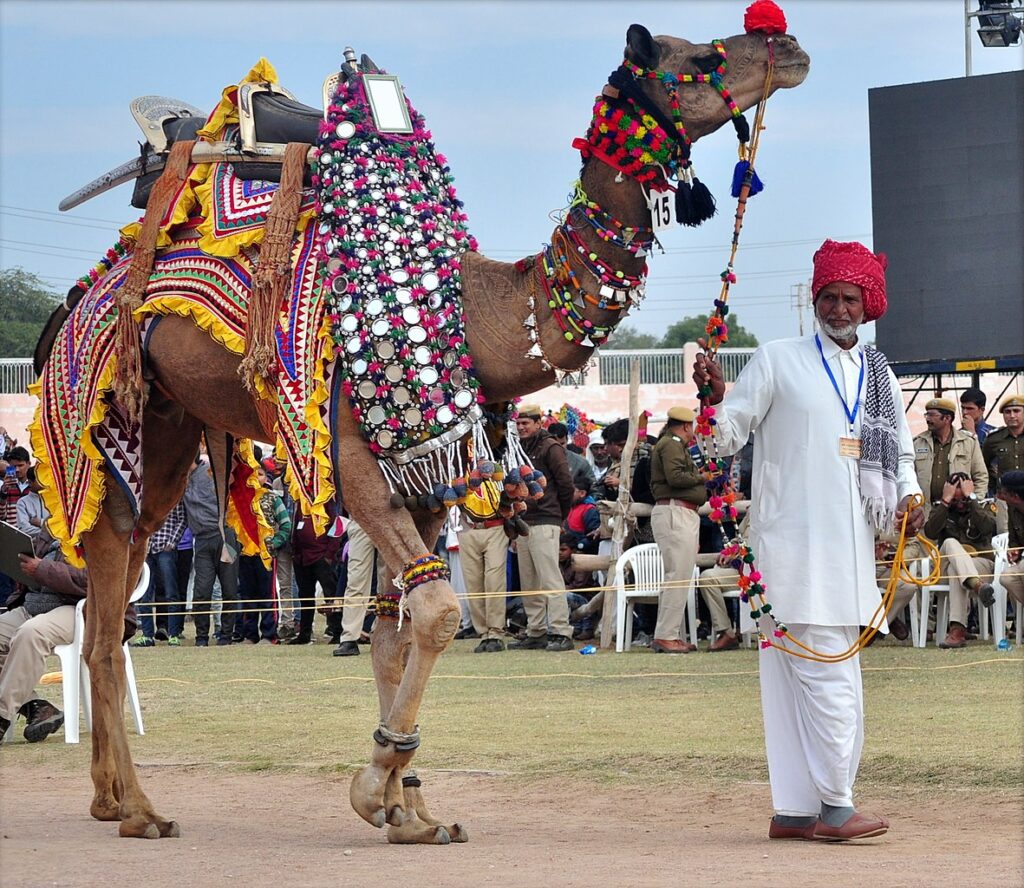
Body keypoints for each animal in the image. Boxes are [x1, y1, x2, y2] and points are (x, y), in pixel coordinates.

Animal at [32, 3, 806, 843]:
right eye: (695, 58)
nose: (786, 44)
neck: (472, 312)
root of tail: (73, 307)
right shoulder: (360, 470)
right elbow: (434, 614)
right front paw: (374, 785)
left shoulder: (430, 486)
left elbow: (392, 635)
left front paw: (411, 808)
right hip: (108, 421)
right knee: (106, 613)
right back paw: (140, 809)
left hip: (171, 434)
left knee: (114, 604)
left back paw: (110, 798)